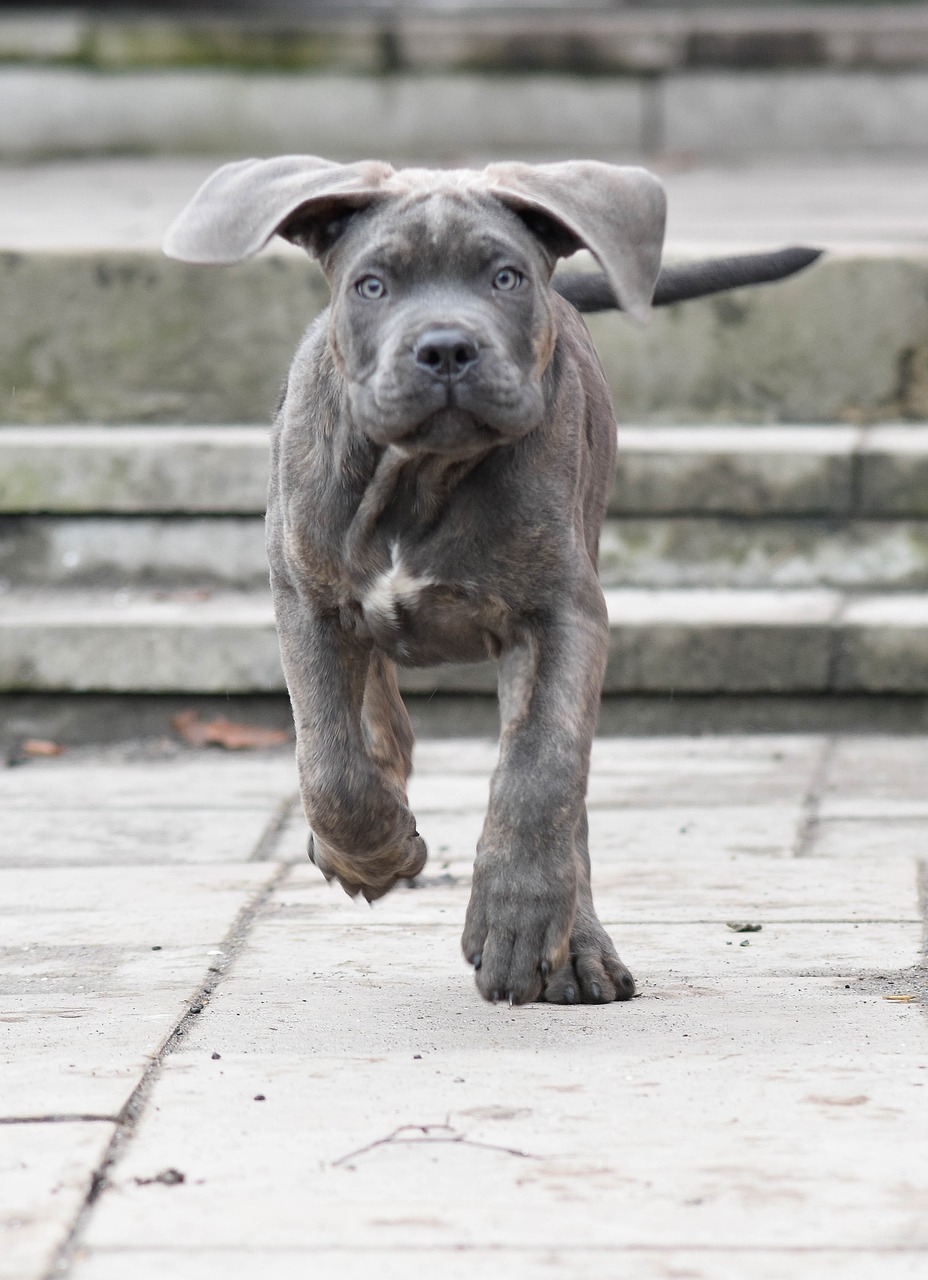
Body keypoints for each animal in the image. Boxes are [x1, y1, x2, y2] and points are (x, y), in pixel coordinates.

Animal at [166, 154, 819, 1003]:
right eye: (371, 285)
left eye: (505, 277)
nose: (447, 347)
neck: (420, 475)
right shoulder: (305, 601)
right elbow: (330, 766)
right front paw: (376, 852)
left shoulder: (562, 618)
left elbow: (541, 770)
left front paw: (518, 921)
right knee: (370, 717)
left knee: (558, 793)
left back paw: (578, 950)